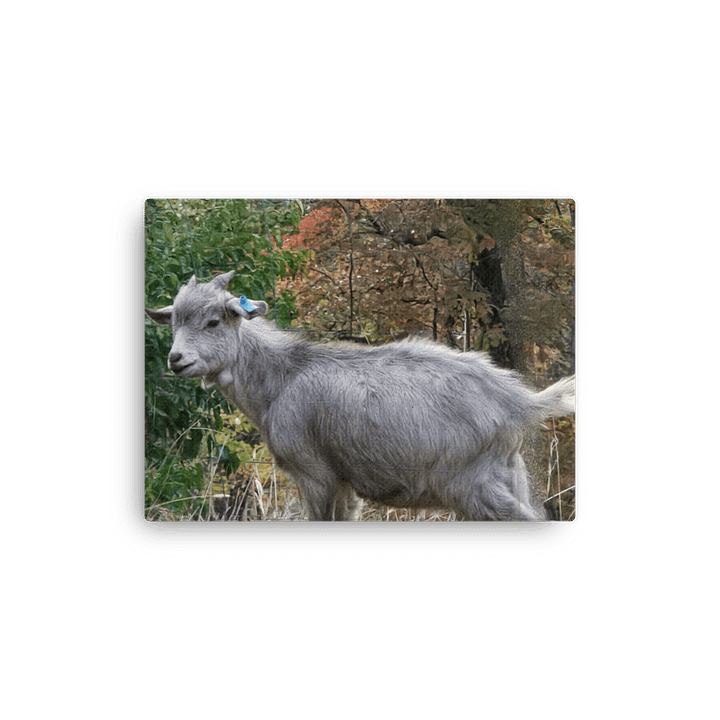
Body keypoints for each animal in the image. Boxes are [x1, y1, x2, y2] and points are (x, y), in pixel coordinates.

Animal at [146, 271, 575, 521]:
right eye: (174, 322)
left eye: (213, 321)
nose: (176, 359)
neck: (282, 376)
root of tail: (518, 399)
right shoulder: (342, 480)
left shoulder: (314, 472)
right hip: (508, 474)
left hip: (474, 484)